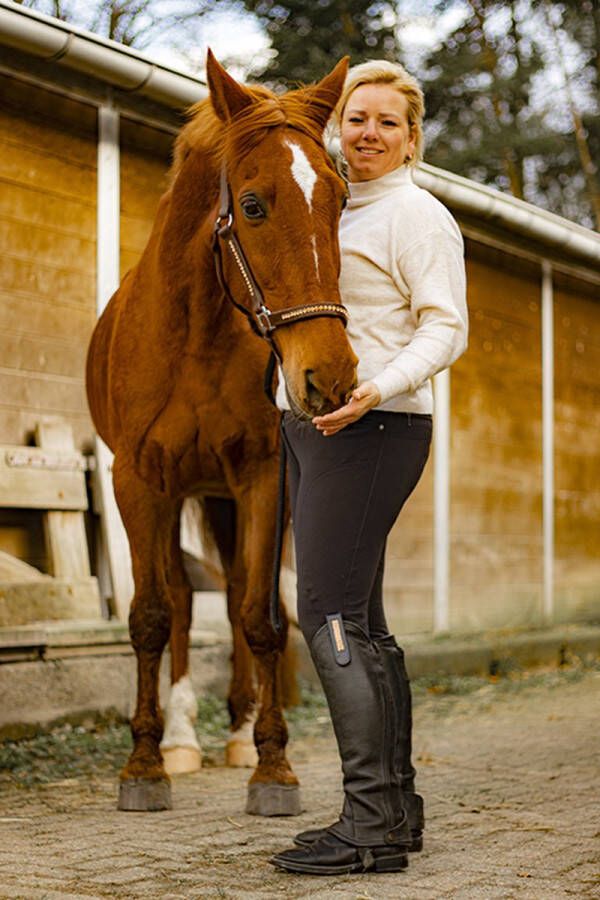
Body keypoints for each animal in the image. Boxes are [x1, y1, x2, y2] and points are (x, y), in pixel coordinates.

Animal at [84, 54, 356, 816]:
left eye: (338, 200)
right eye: (255, 205)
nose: (329, 375)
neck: (195, 336)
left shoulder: (261, 477)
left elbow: (258, 617)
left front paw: (273, 767)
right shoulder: (137, 479)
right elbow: (151, 615)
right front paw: (143, 766)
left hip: (223, 498)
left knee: (234, 597)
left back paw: (234, 736)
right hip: (179, 494)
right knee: (181, 602)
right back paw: (179, 740)